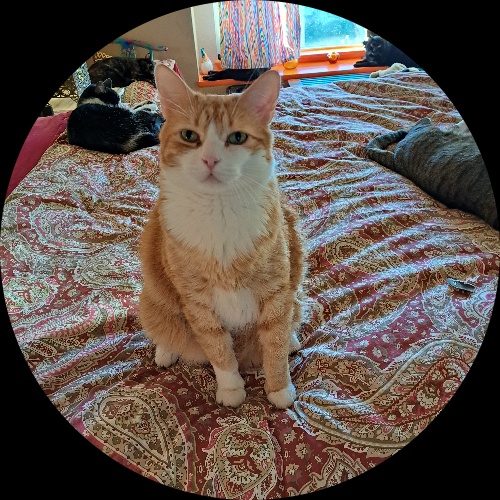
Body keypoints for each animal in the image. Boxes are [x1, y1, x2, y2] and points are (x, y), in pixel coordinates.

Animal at [138, 65, 307, 409]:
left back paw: (293, 338)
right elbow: (219, 353)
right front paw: (231, 390)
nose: (210, 160)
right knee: (166, 328)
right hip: (153, 299)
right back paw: (166, 351)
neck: (219, 212)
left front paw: (279, 389)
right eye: (190, 136)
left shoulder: (275, 292)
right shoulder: (198, 305)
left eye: (237, 137)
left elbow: (274, 346)